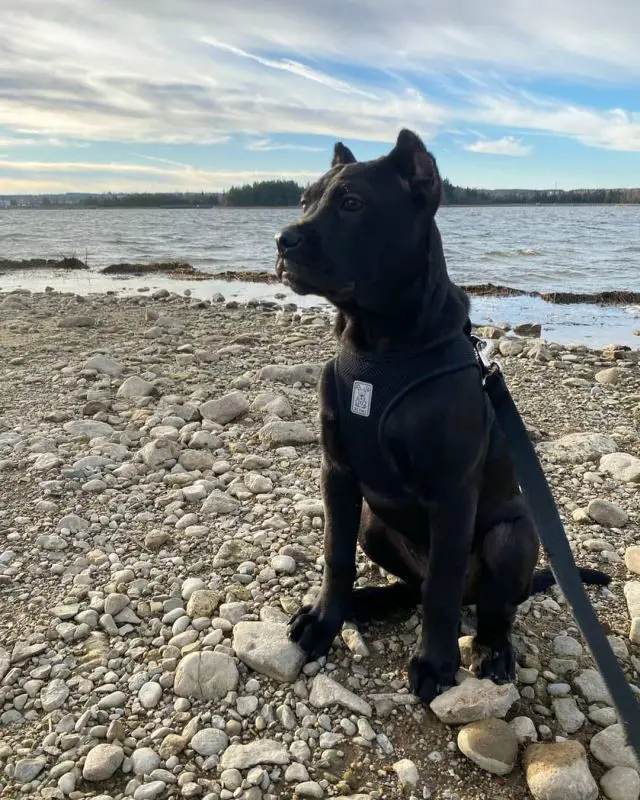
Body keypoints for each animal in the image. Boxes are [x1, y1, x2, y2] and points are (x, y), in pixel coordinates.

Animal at [272, 130, 608, 700]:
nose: (282, 241)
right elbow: (336, 555)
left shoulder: (452, 491)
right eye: (303, 200)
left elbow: (443, 589)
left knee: (489, 609)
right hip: (375, 524)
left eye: (352, 204)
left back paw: (493, 651)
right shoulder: (337, 472)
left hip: (513, 537)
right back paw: (367, 602)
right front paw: (324, 619)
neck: (380, 345)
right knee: (412, 586)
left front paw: (434, 662)